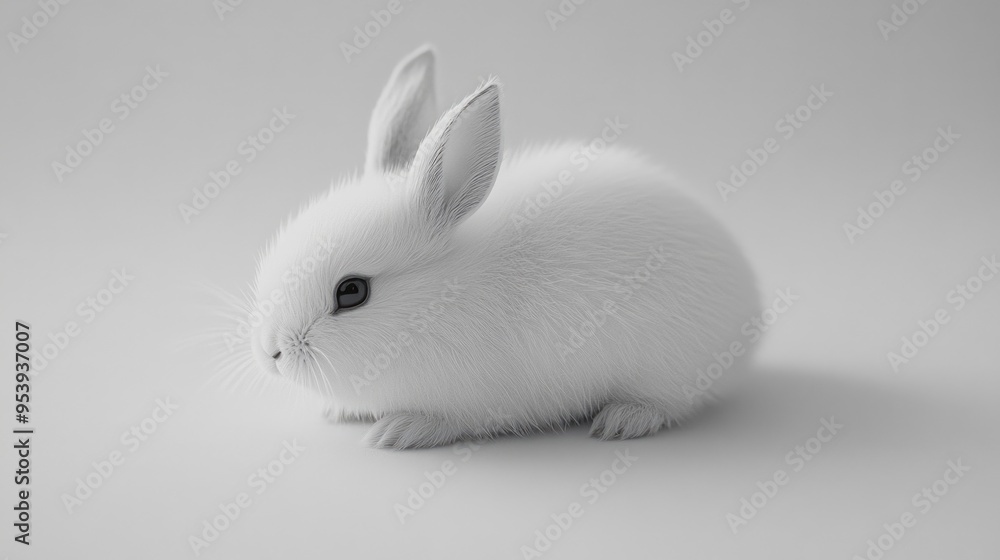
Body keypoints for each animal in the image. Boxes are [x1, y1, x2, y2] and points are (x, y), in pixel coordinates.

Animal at [248, 45, 761, 449]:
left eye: (352, 292)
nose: (272, 354)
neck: (440, 302)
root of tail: (751, 308)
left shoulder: (474, 400)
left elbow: (446, 420)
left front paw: (398, 431)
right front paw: (339, 412)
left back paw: (622, 420)